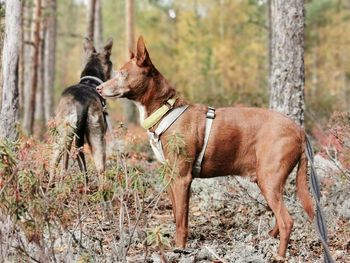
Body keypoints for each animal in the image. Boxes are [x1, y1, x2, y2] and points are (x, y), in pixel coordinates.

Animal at [50, 37, 113, 182]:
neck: (90, 81)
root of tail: (81, 103)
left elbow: (65, 164)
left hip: (65, 135)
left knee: (55, 162)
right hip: (95, 136)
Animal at [96, 36, 314, 258]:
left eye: (122, 74)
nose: (98, 89)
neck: (165, 110)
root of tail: (299, 131)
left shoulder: (182, 178)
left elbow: (181, 222)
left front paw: (180, 249)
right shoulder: (172, 177)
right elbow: (177, 214)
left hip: (268, 179)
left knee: (287, 221)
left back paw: (279, 255)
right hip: (271, 181)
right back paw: (269, 238)